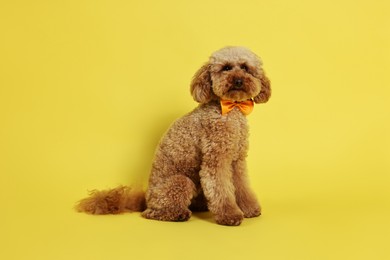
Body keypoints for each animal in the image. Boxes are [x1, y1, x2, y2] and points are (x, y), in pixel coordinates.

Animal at [76, 46, 272, 225]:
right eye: (226, 68)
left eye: (245, 67)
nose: (238, 80)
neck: (231, 110)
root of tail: (146, 199)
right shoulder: (216, 160)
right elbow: (221, 188)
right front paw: (230, 215)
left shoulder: (236, 160)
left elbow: (241, 186)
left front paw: (249, 209)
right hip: (180, 182)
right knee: (153, 213)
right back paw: (178, 214)